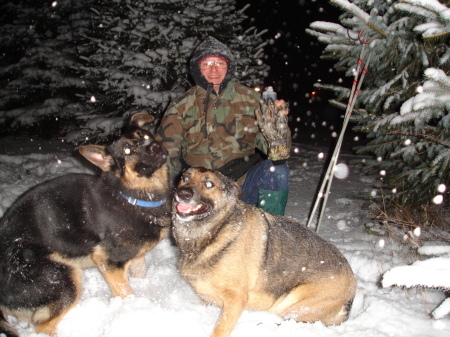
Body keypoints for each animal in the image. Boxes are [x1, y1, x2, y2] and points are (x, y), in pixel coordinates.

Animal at [0, 113, 171, 336]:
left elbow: (140, 272)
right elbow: (126, 292)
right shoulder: (109, 262)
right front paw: (134, 310)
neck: (131, 195)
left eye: (145, 136)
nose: (155, 146)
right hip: (61, 279)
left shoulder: (136, 257)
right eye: (127, 151)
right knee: (43, 326)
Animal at [173, 167, 358, 336]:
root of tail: (353, 286)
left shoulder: (236, 299)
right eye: (185, 177)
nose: (182, 193)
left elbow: (220, 329)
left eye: (209, 184)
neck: (216, 230)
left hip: (293, 303)